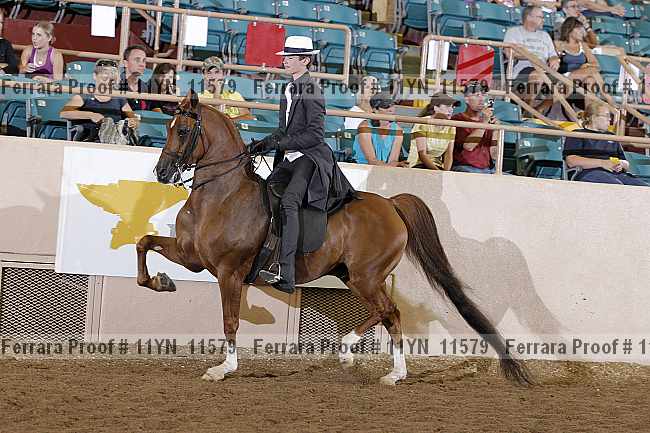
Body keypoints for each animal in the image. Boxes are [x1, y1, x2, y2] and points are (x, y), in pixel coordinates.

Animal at [136, 92, 532, 386]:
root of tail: (391, 205)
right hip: (355, 276)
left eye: (182, 131)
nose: (162, 172)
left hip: (364, 276)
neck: (222, 195)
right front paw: (161, 281)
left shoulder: (229, 272)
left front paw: (223, 369)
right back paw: (392, 373)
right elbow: (144, 243)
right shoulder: (192, 257)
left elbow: (230, 321)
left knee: (388, 311)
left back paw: (352, 353)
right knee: (390, 314)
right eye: (168, 127)